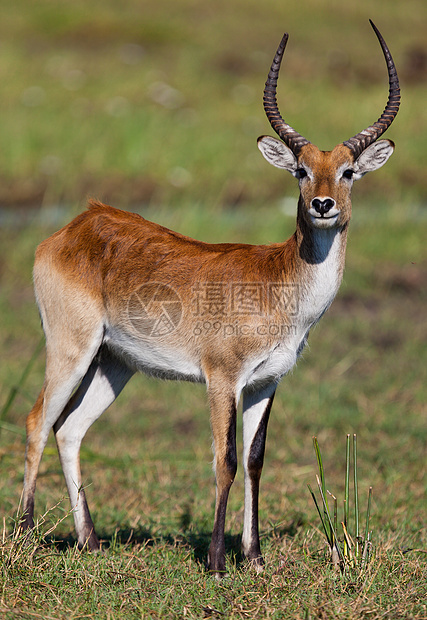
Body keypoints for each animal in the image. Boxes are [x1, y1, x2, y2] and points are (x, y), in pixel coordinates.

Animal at [20, 21, 402, 580]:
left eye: (349, 170)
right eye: (300, 169)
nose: (322, 204)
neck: (279, 283)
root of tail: (77, 224)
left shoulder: (266, 382)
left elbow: (255, 460)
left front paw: (256, 558)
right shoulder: (222, 379)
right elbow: (224, 460)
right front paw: (219, 563)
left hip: (115, 363)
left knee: (70, 430)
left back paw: (90, 542)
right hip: (72, 348)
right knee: (38, 421)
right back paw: (25, 535)